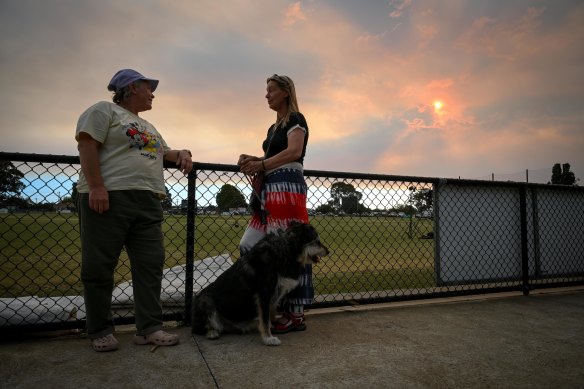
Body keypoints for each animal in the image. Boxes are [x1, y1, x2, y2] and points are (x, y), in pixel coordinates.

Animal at [192, 221, 328, 346]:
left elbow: (270, 314)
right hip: (205, 301)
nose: (328, 251)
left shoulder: (275, 293)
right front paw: (268, 338)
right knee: (200, 329)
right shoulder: (264, 293)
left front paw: (273, 327)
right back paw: (212, 332)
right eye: (316, 241)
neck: (285, 250)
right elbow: (265, 318)